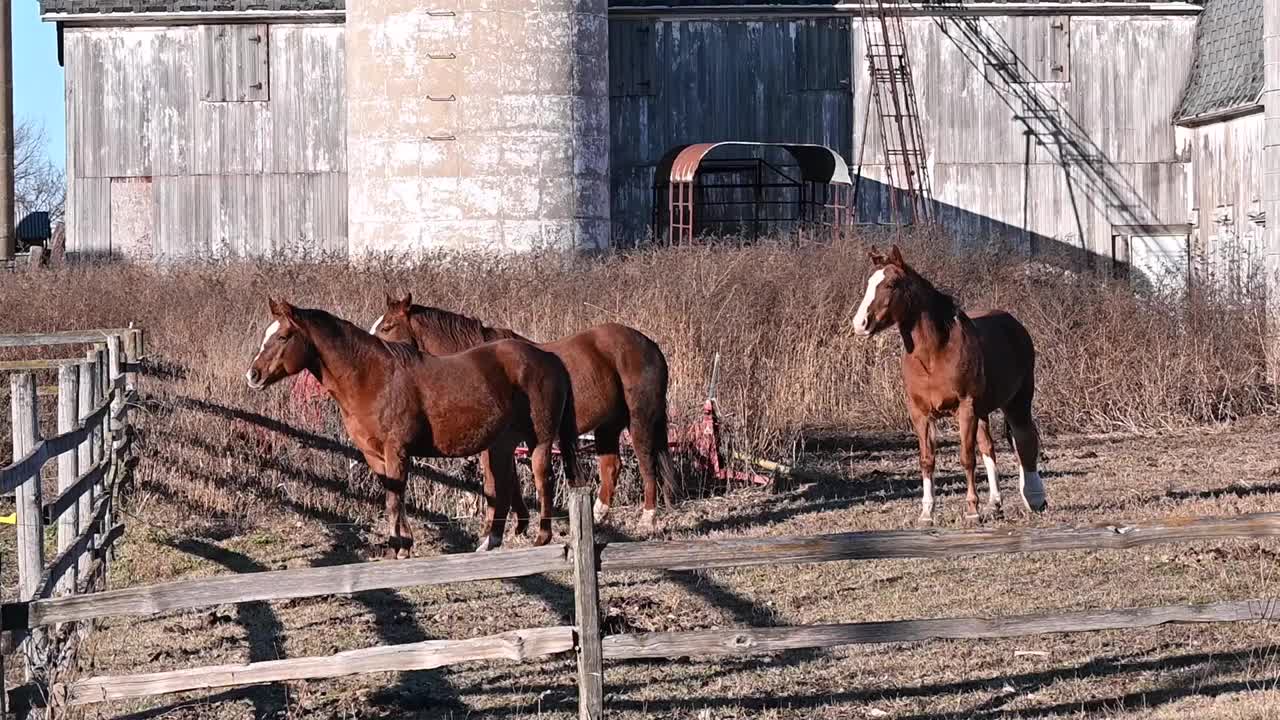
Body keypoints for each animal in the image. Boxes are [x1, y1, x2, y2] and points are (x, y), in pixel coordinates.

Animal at [243, 297, 581, 556]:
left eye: (283, 337)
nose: (253, 375)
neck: (373, 377)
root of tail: (548, 356)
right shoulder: (374, 455)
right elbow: (393, 496)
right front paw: (399, 545)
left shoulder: (397, 451)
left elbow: (396, 498)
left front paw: (402, 547)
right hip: (501, 443)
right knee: (503, 486)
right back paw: (491, 541)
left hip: (539, 440)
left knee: (542, 477)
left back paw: (542, 537)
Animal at [366, 293, 675, 532]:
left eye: (388, 326)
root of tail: (648, 344)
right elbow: (510, 480)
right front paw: (520, 524)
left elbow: (497, 484)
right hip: (608, 426)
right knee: (612, 466)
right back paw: (597, 516)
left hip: (640, 420)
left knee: (647, 463)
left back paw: (648, 519)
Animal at [849, 244, 1049, 520]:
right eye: (870, 283)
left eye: (891, 284)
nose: (860, 324)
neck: (934, 354)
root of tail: (1015, 324)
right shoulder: (920, 413)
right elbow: (927, 459)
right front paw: (926, 513)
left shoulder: (965, 408)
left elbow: (967, 458)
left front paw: (972, 510)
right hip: (983, 410)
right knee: (989, 447)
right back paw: (995, 503)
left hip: (1016, 402)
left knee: (1024, 440)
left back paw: (1034, 498)